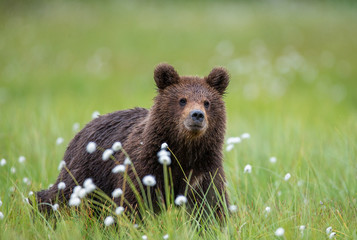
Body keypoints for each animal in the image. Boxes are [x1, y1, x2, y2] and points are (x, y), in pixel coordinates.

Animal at [35, 62, 228, 218]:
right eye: (182, 100)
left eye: (207, 102)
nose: (197, 115)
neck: (183, 150)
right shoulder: (144, 166)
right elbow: (133, 201)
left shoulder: (204, 170)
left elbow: (210, 204)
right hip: (86, 172)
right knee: (62, 196)